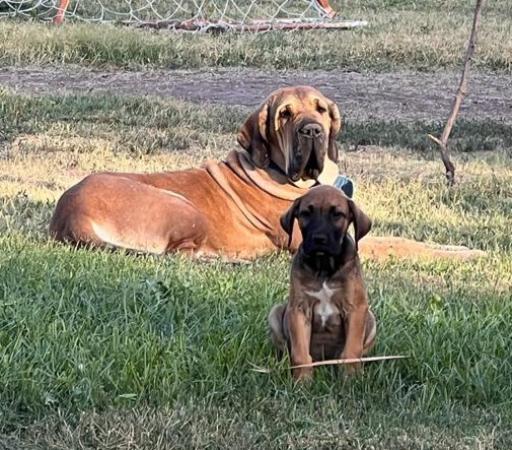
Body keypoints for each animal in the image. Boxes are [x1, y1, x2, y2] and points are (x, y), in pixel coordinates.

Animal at [268, 185, 376, 380]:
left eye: (337, 214)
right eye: (305, 213)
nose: (319, 239)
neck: (324, 267)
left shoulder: (356, 308)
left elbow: (352, 350)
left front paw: (351, 379)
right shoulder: (299, 309)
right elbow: (300, 353)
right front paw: (303, 381)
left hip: (371, 319)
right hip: (276, 312)